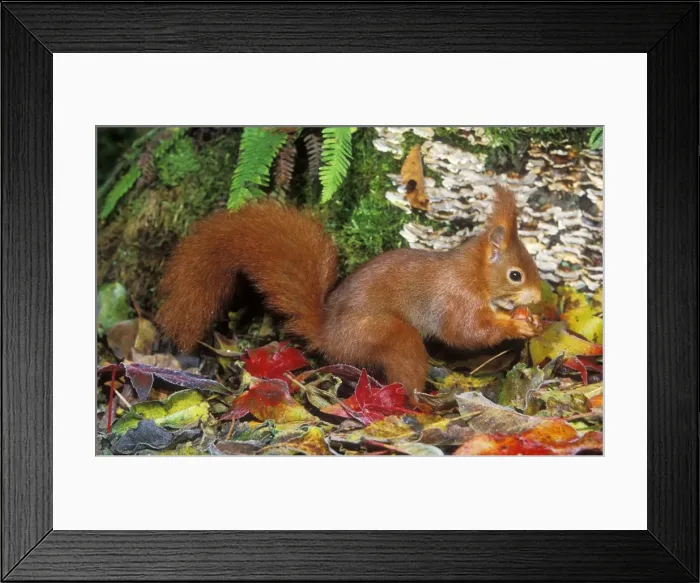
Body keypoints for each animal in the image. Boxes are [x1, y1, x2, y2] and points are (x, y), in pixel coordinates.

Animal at [157, 185, 542, 398]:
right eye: (516, 275)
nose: (539, 298)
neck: (472, 273)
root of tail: (327, 335)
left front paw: (528, 318)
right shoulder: (455, 298)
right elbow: (464, 332)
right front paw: (515, 324)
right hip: (382, 334)